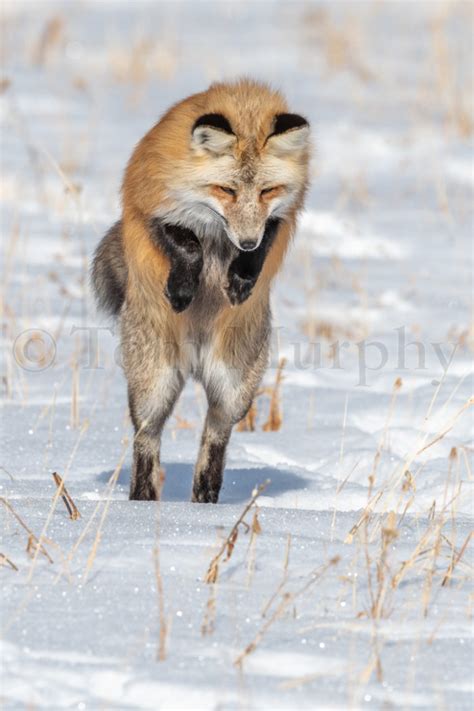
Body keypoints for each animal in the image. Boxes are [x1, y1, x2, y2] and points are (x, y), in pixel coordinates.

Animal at [91, 79, 312, 500]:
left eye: (267, 191)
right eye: (225, 190)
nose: (245, 242)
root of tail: (194, 357)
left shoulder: (280, 216)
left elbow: (266, 240)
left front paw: (241, 277)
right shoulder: (149, 206)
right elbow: (187, 243)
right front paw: (181, 288)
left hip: (233, 389)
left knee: (214, 440)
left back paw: (204, 504)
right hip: (154, 385)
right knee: (146, 441)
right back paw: (140, 504)